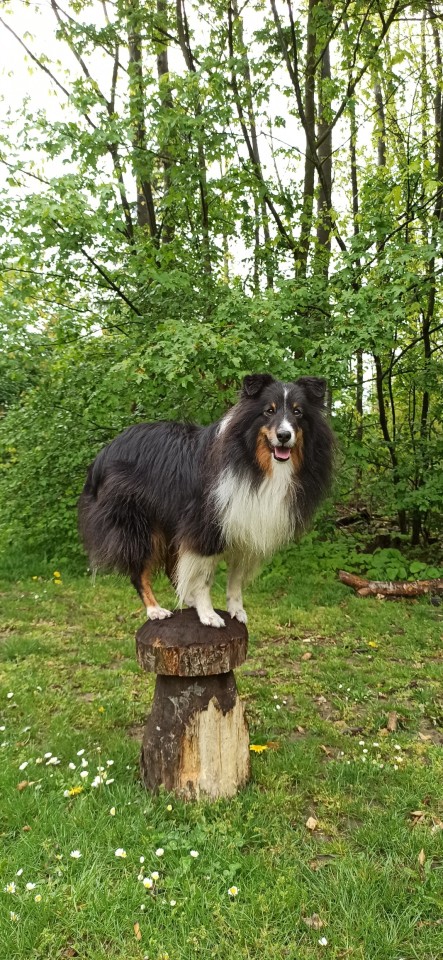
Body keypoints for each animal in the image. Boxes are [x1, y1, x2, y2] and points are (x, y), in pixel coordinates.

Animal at [78, 372, 334, 628]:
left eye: (298, 412)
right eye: (268, 411)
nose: (284, 436)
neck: (253, 462)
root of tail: (103, 453)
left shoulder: (244, 528)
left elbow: (235, 580)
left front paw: (236, 610)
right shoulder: (205, 530)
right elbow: (204, 578)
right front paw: (208, 615)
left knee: (172, 568)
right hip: (139, 526)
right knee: (139, 570)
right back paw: (155, 609)